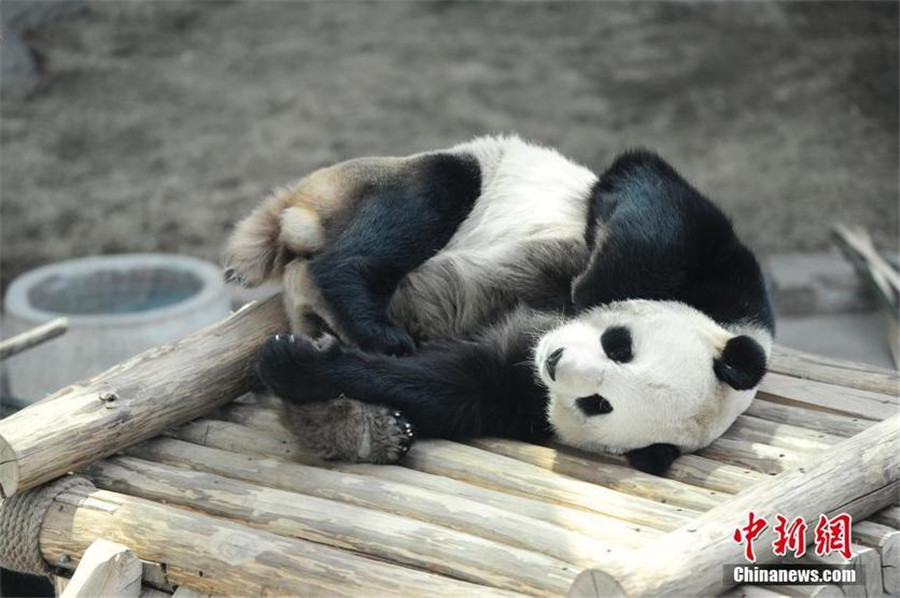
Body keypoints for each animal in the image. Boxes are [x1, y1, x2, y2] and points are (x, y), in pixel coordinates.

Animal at [223, 137, 772, 478]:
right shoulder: (733, 291)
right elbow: (654, 198)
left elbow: (455, 385)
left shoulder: (525, 399)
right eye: (621, 346)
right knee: (436, 192)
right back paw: (366, 317)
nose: (555, 360)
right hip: (393, 178)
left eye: (598, 403)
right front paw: (590, 285)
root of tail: (297, 213)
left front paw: (299, 367)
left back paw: (360, 429)